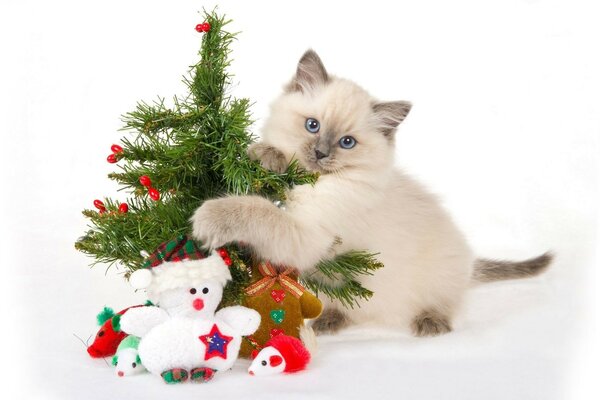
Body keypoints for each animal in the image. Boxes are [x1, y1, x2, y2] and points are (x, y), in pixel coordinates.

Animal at [193, 50, 552, 338]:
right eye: (312, 126)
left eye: (347, 142)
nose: (320, 154)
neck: (311, 181)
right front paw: (264, 155)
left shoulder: (308, 236)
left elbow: (258, 210)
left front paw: (209, 217)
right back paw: (329, 321)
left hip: (441, 274)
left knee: (446, 301)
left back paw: (430, 322)